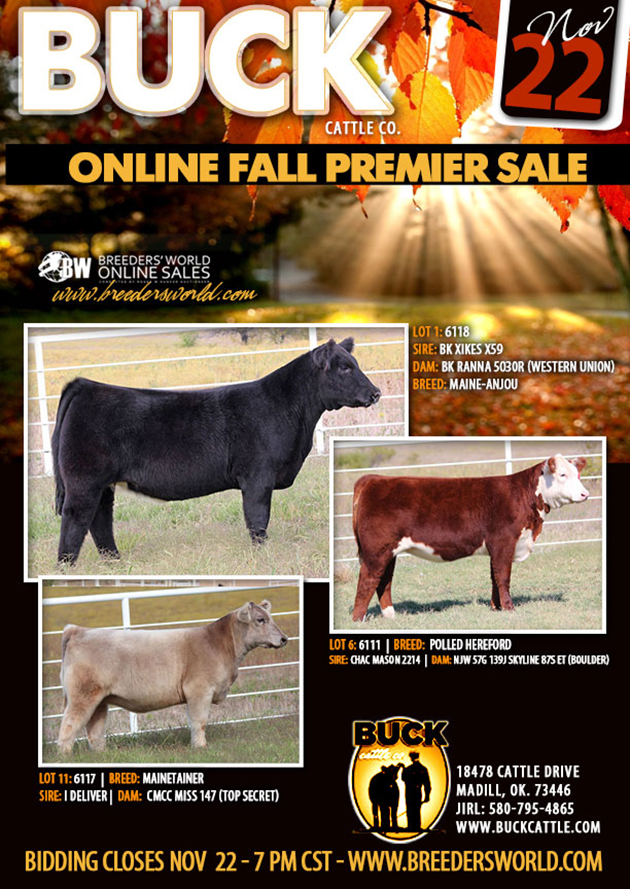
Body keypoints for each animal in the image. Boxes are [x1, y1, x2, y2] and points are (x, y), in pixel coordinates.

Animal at [51, 337, 381, 565]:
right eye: (345, 368)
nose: (376, 393)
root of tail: (86, 385)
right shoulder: (258, 477)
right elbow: (258, 520)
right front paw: (261, 558)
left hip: (102, 485)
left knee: (100, 520)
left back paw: (114, 562)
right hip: (84, 481)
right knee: (76, 520)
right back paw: (67, 568)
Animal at [57, 600, 289, 752]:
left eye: (270, 618)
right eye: (260, 619)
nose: (284, 639)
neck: (222, 646)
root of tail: (78, 630)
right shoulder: (199, 690)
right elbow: (199, 721)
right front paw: (200, 747)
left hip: (99, 700)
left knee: (94, 730)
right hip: (81, 696)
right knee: (68, 725)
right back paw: (65, 755)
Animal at [351, 455, 590, 621]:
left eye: (578, 474)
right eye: (562, 474)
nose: (585, 494)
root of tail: (373, 479)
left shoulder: (496, 547)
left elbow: (494, 576)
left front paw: (496, 607)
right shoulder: (504, 542)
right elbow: (503, 576)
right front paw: (509, 608)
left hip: (389, 551)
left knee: (384, 581)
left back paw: (391, 616)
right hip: (376, 551)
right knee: (367, 581)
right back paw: (358, 619)